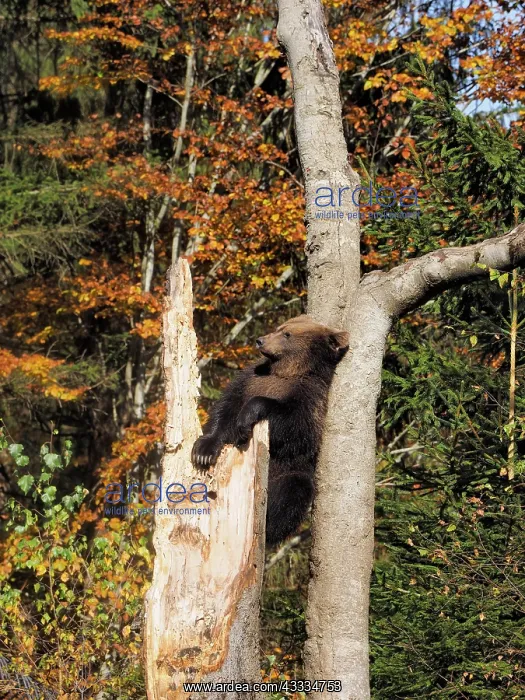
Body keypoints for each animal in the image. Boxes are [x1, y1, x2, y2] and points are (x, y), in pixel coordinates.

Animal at [191, 314, 349, 544]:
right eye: (279, 328)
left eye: (287, 334)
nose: (261, 340)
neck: (286, 371)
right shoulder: (250, 379)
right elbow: (227, 408)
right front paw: (203, 451)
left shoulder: (310, 397)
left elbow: (296, 427)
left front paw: (247, 417)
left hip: (289, 472)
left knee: (293, 490)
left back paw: (268, 524)